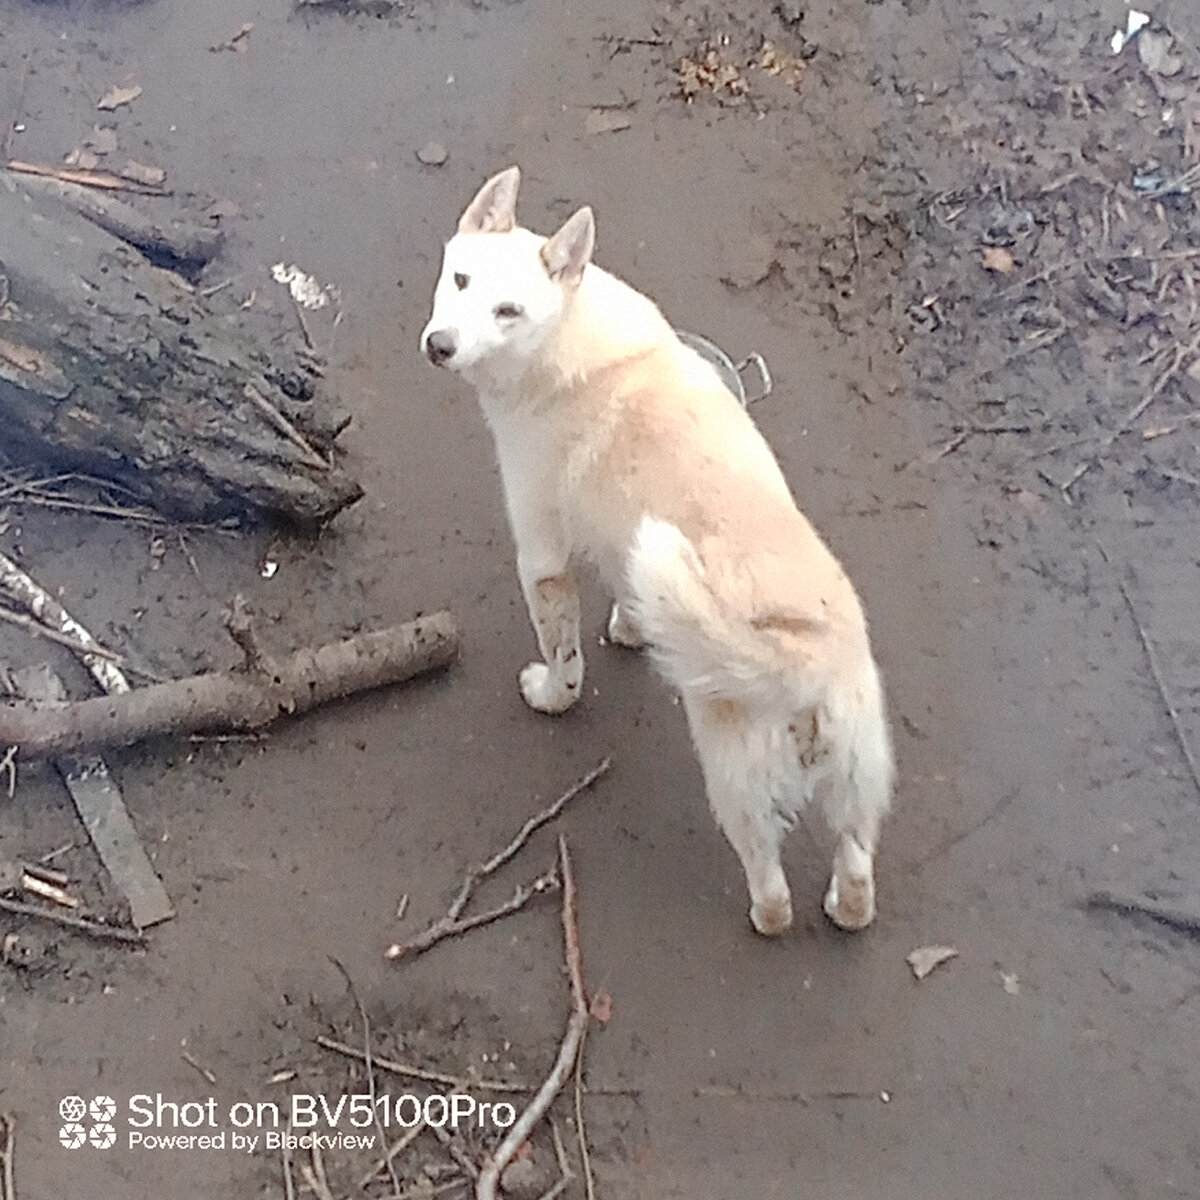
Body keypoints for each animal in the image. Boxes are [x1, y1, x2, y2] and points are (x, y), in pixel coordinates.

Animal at [422, 169, 892, 936]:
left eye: (508, 311)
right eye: (459, 279)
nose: (440, 345)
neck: (567, 345)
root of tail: (799, 658)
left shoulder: (542, 558)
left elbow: (565, 661)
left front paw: (552, 695)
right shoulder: (628, 550)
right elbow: (630, 600)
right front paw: (632, 630)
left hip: (737, 791)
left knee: (772, 892)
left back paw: (764, 917)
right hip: (857, 788)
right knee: (856, 877)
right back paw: (843, 906)